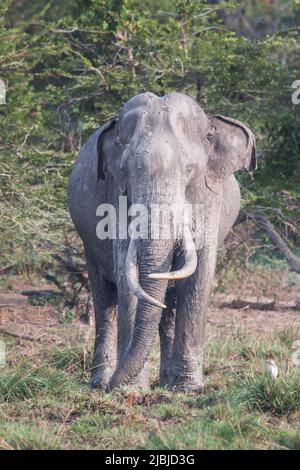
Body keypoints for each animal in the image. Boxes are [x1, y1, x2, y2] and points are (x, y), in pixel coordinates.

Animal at [68, 92, 255, 392]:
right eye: (125, 170)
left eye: (190, 169)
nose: (113, 387)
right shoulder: (116, 194)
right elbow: (126, 273)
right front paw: (130, 389)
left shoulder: (208, 199)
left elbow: (199, 276)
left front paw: (189, 388)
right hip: (88, 246)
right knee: (104, 297)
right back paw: (101, 382)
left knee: (170, 300)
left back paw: (167, 383)